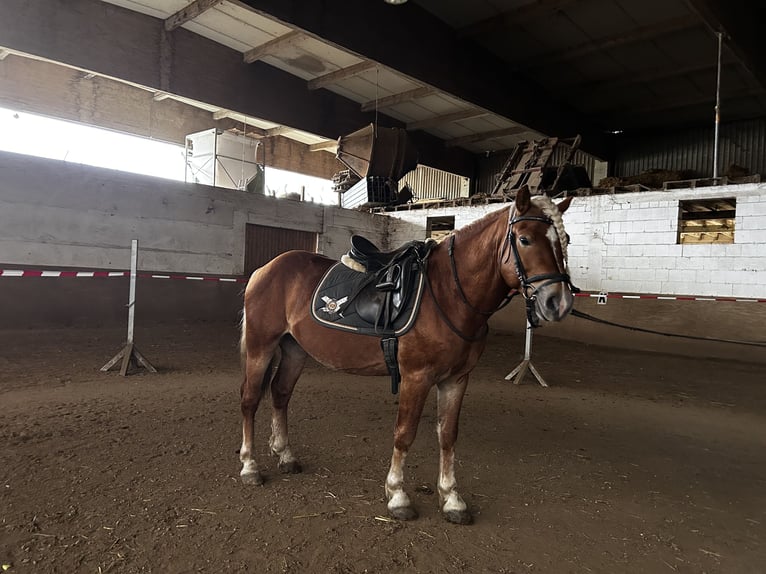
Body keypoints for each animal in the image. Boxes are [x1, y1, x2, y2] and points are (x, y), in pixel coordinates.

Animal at [240, 188, 576, 528]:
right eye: (525, 239)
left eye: (566, 240)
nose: (558, 302)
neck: (448, 294)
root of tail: (266, 269)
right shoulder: (417, 377)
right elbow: (405, 434)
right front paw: (398, 496)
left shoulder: (456, 380)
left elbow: (448, 435)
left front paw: (452, 499)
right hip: (260, 346)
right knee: (251, 400)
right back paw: (250, 467)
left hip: (294, 349)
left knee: (280, 394)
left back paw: (286, 456)